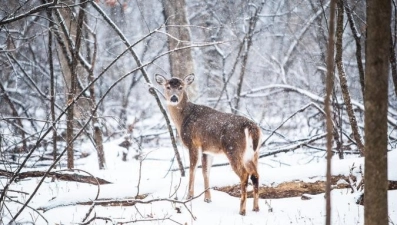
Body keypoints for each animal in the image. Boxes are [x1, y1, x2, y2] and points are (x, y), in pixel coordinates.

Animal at [155, 74, 262, 216]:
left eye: (181, 87)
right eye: (167, 87)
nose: (174, 98)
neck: (183, 119)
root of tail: (251, 127)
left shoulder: (193, 143)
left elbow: (192, 169)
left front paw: (189, 196)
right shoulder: (207, 150)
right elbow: (206, 172)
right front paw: (207, 199)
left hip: (233, 149)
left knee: (244, 174)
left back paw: (242, 210)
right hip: (254, 153)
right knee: (255, 174)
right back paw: (256, 208)